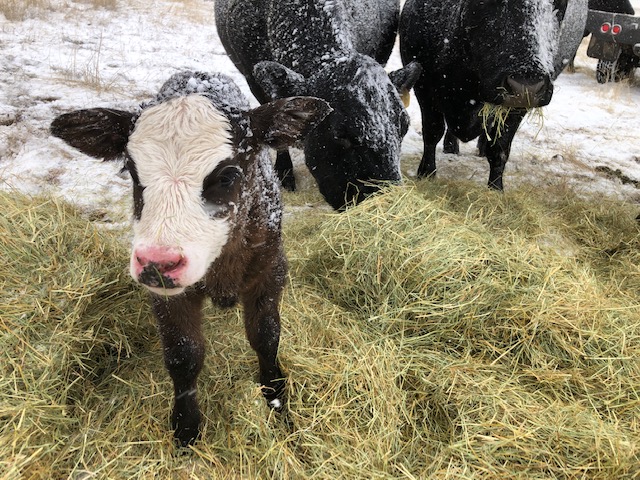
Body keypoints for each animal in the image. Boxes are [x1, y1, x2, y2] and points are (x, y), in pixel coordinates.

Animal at [50, 71, 331, 446]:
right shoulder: (167, 292)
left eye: (228, 175)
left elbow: (266, 335)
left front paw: (276, 398)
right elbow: (183, 354)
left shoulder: (270, 268)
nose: (157, 262)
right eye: (132, 171)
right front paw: (186, 429)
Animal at [400, 0, 589, 190]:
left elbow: (500, 148)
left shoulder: (516, 109)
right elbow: (432, 132)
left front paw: (496, 187)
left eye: (560, 2)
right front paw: (426, 173)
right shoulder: (424, 87)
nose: (526, 87)